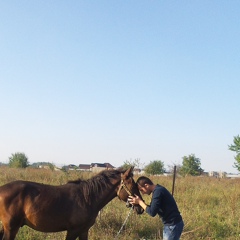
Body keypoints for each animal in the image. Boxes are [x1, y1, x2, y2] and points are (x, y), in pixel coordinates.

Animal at [0, 167, 143, 240]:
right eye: (133, 185)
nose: (140, 208)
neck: (87, 198)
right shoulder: (73, 231)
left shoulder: (84, 231)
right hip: (11, 228)